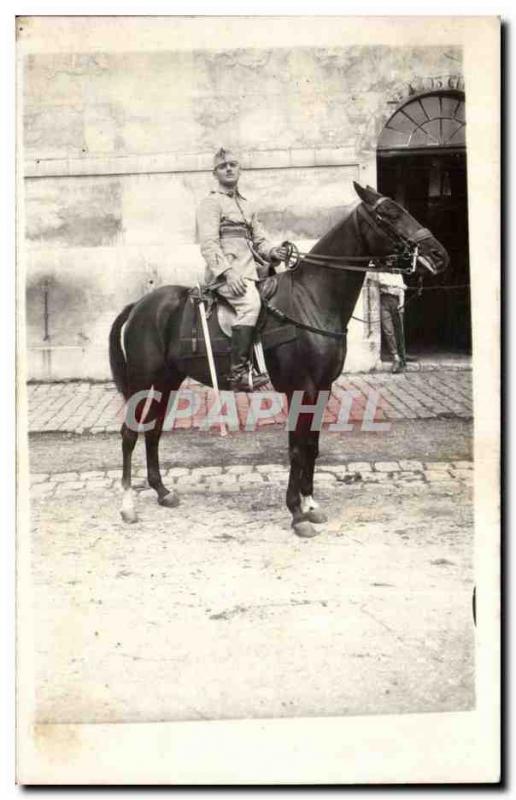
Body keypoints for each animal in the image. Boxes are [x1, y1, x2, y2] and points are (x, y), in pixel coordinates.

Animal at [109, 184, 448, 536]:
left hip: (167, 380)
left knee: (153, 429)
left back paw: (162, 491)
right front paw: (296, 513)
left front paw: (310, 505)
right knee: (130, 433)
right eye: (390, 214)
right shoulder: (301, 388)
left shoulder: (322, 388)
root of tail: (140, 305)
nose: (439, 255)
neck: (311, 298)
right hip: (142, 380)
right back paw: (128, 506)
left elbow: (312, 444)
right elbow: (297, 447)